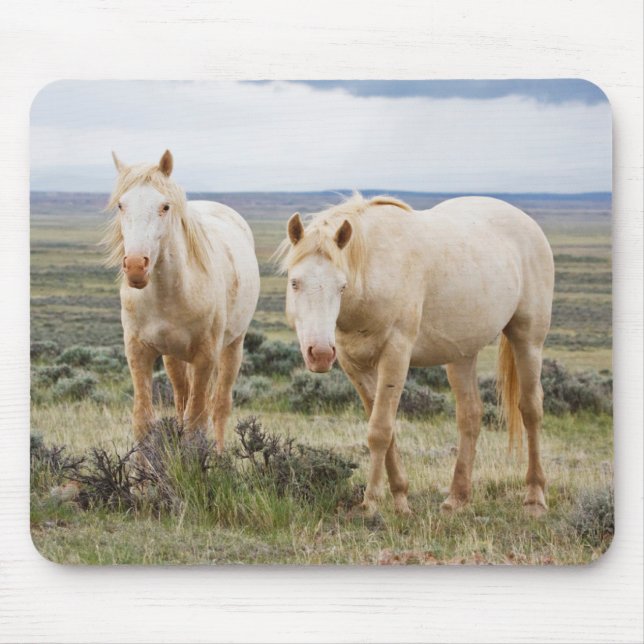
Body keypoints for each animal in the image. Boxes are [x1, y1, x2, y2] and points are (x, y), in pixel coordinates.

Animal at [102, 150, 260, 452]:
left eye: (165, 207)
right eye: (121, 205)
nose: (136, 266)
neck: (169, 295)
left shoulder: (205, 356)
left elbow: (196, 422)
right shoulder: (138, 352)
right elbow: (143, 420)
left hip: (233, 346)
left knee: (219, 406)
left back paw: (219, 454)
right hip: (173, 357)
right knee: (181, 399)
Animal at [277, 193, 554, 517]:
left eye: (341, 286)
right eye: (295, 282)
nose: (320, 354)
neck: (375, 271)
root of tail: (527, 222)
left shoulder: (396, 355)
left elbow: (380, 430)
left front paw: (371, 503)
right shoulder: (354, 364)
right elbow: (386, 430)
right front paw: (400, 498)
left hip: (528, 339)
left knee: (531, 410)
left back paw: (535, 497)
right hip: (462, 354)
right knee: (470, 415)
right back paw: (457, 498)